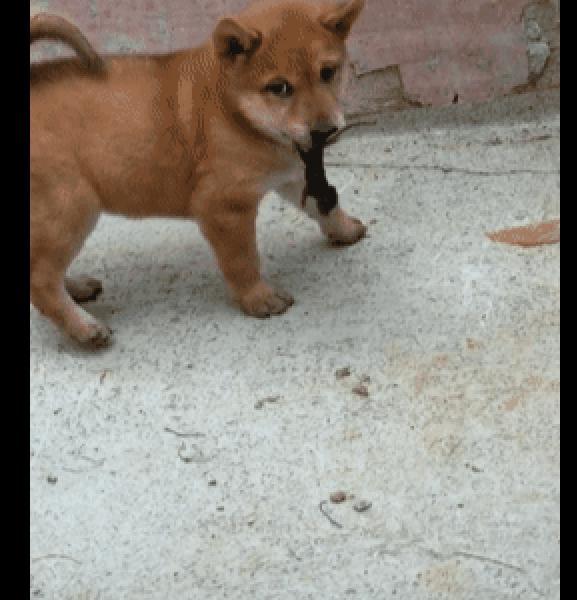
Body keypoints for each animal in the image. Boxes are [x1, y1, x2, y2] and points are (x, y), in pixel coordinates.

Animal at [30, 0, 364, 346]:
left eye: (328, 73)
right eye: (280, 88)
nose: (325, 132)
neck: (234, 111)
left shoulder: (294, 175)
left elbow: (325, 206)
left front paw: (345, 231)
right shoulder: (224, 207)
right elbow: (243, 261)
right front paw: (259, 298)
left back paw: (77, 289)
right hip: (69, 210)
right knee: (41, 281)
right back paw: (85, 329)